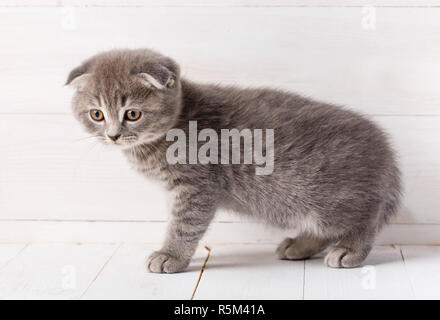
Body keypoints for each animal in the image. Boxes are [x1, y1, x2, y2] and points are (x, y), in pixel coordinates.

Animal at [66, 48, 402, 274]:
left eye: (132, 114)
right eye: (97, 114)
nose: (113, 136)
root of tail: (386, 152)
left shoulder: (196, 186)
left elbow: (184, 225)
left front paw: (171, 255)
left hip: (327, 198)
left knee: (365, 217)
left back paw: (350, 249)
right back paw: (300, 246)